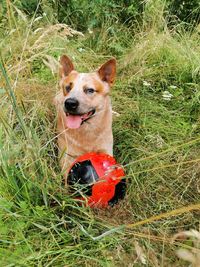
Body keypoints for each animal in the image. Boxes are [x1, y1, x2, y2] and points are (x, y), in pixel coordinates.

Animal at [53, 55, 115, 183]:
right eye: (68, 87)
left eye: (90, 90)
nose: (70, 103)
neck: (86, 132)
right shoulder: (66, 158)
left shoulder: (106, 150)